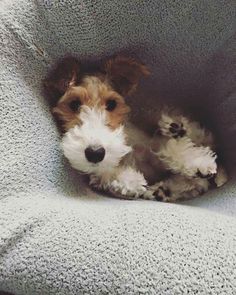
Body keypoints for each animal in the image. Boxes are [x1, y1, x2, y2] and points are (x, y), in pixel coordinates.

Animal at [43, 55, 227, 202]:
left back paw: (175, 127)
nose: (95, 152)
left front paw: (199, 162)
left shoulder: (147, 143)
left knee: (202, 136)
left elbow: (165, 146)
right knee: (199, 183)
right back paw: (162, 190)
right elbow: (103, 174)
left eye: (111, 104)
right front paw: (132, 182)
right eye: (74, 104)